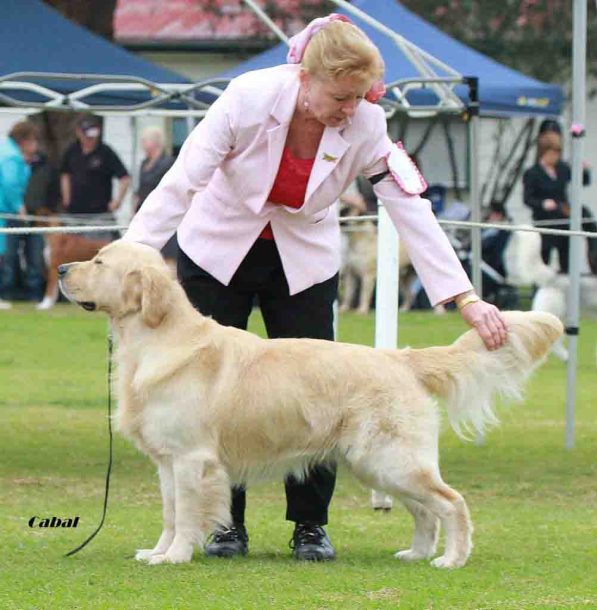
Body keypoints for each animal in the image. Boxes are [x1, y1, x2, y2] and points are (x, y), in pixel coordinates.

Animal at [59, 240, 562, 568]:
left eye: (99, 262)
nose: (62, 269)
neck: (155, 340)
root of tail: (401, 358)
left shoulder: (191, 459)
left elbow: (185, 514)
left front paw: (176, 556)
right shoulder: (167, 462)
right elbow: (169, 513)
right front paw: (158, 551)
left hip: (391, 460)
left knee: (451, 502)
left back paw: (451, 559)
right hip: (378, 465)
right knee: (425, 510)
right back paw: (416, 553)